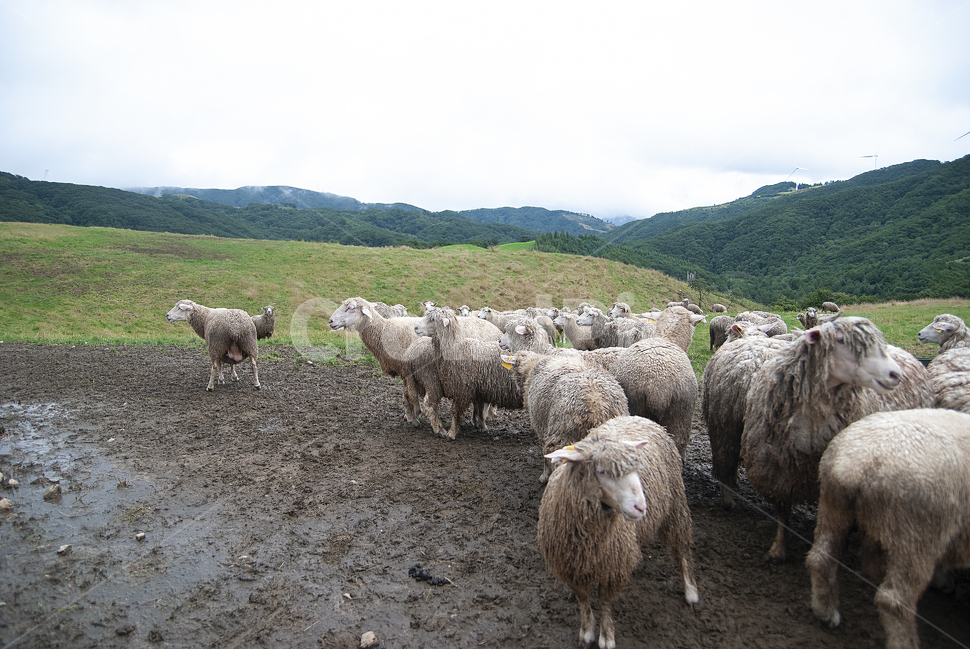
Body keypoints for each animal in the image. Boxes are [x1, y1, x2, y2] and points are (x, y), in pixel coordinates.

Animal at [414, 306, 522, 440]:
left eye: (433, 319)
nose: (415, 327)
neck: (457, 349)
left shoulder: (463, 389)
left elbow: (455, 411)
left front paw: (452, 433)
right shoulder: (478, 389)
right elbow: (479, 408)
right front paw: (480, 425)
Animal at [538, 416, 698, 649]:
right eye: (601, 471)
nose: (641, 506)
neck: (589, 540)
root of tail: (639, 418)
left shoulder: (613, 565)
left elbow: (605, 601)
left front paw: (606, 636)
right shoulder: (570, 565)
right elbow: (583, 599)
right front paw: (586, 631)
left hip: (676, 502)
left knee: (682, 546)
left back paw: (690, 590)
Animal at [806, 409, 970, 648]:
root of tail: (856, 464)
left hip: (833, 505)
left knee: (820, 559)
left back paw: (826, 613)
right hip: (917, 533)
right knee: (893, 600)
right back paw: (905, 643)